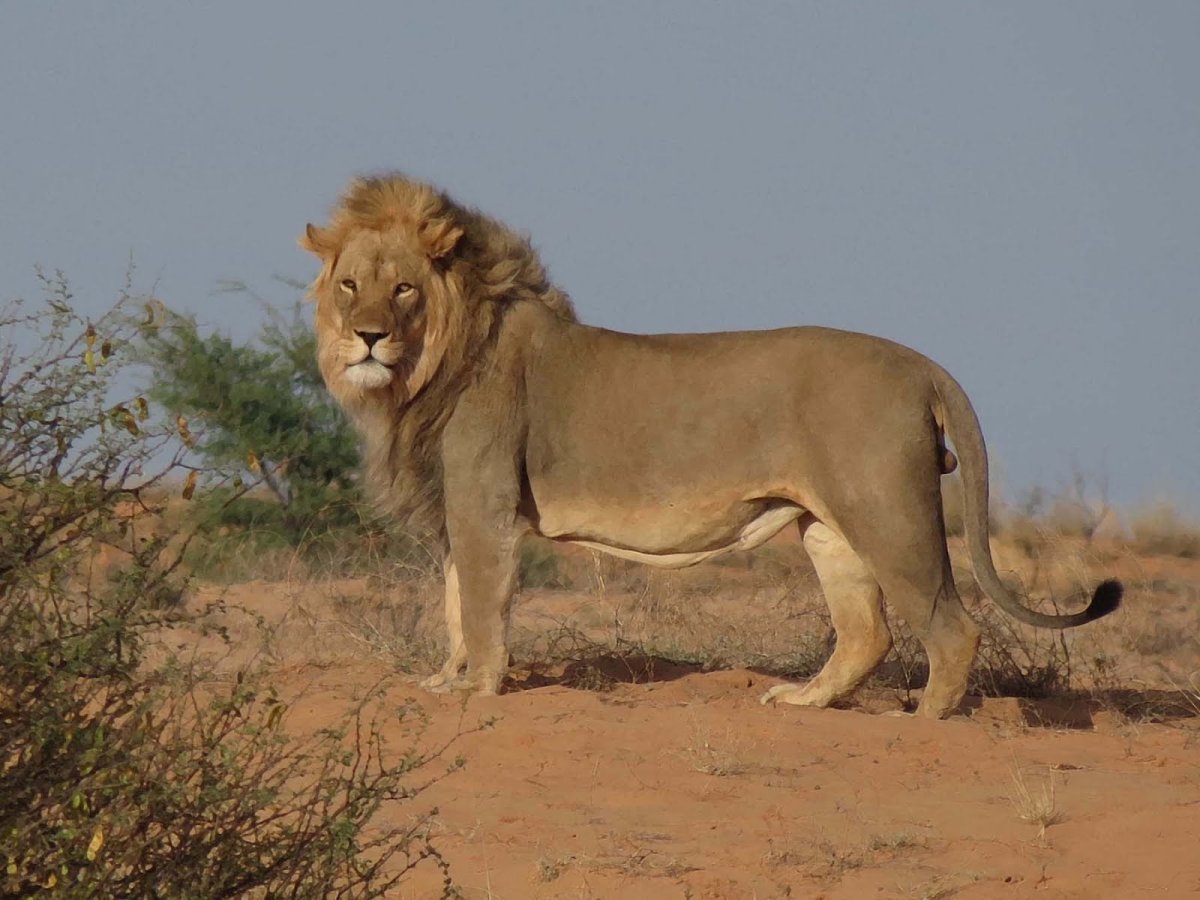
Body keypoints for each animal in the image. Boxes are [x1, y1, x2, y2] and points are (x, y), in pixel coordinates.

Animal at [299, 173, 1121, 719]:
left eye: (403, 289)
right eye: (349, 286)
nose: (367, 336)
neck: (423, 370)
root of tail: (922, 363)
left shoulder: (483, 504)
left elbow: (480, 604)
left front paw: (477, 692)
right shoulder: (456, 511)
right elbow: (452, 604)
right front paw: (446, 681)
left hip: (889, 513)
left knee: (952, 630)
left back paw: (922, 725)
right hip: (829, 523)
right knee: (867, 632)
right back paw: (803, 701)